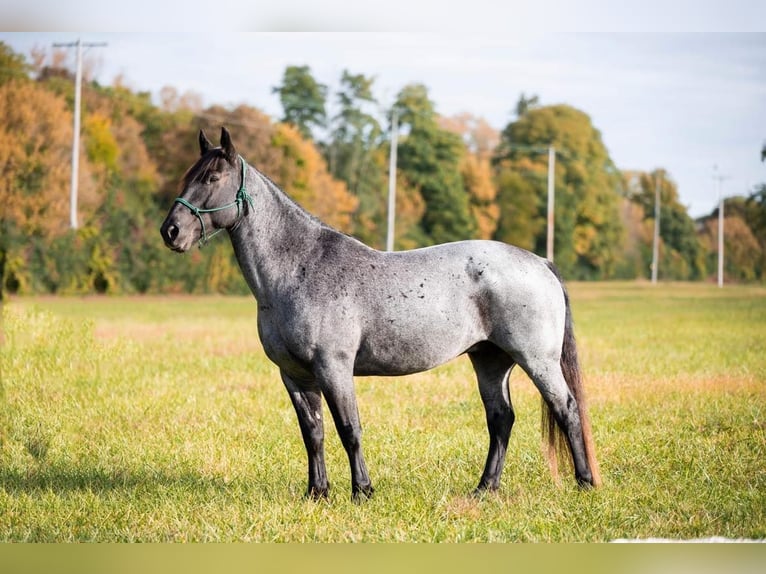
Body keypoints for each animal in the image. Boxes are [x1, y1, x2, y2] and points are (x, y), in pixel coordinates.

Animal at [162, 128, 604, 502]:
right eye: (189, 176)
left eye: (213, 177)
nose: (171, 231)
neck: (300, 268)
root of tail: (540, 262)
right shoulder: (294, 375)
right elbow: (313, 433)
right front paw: (317, 494)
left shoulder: (334, 368)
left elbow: (349, 430)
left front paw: (362, 492)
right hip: (490, 361)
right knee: (501, 420)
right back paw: (484, 489)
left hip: (536, 360)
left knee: (567, 409)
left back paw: (583, 483)